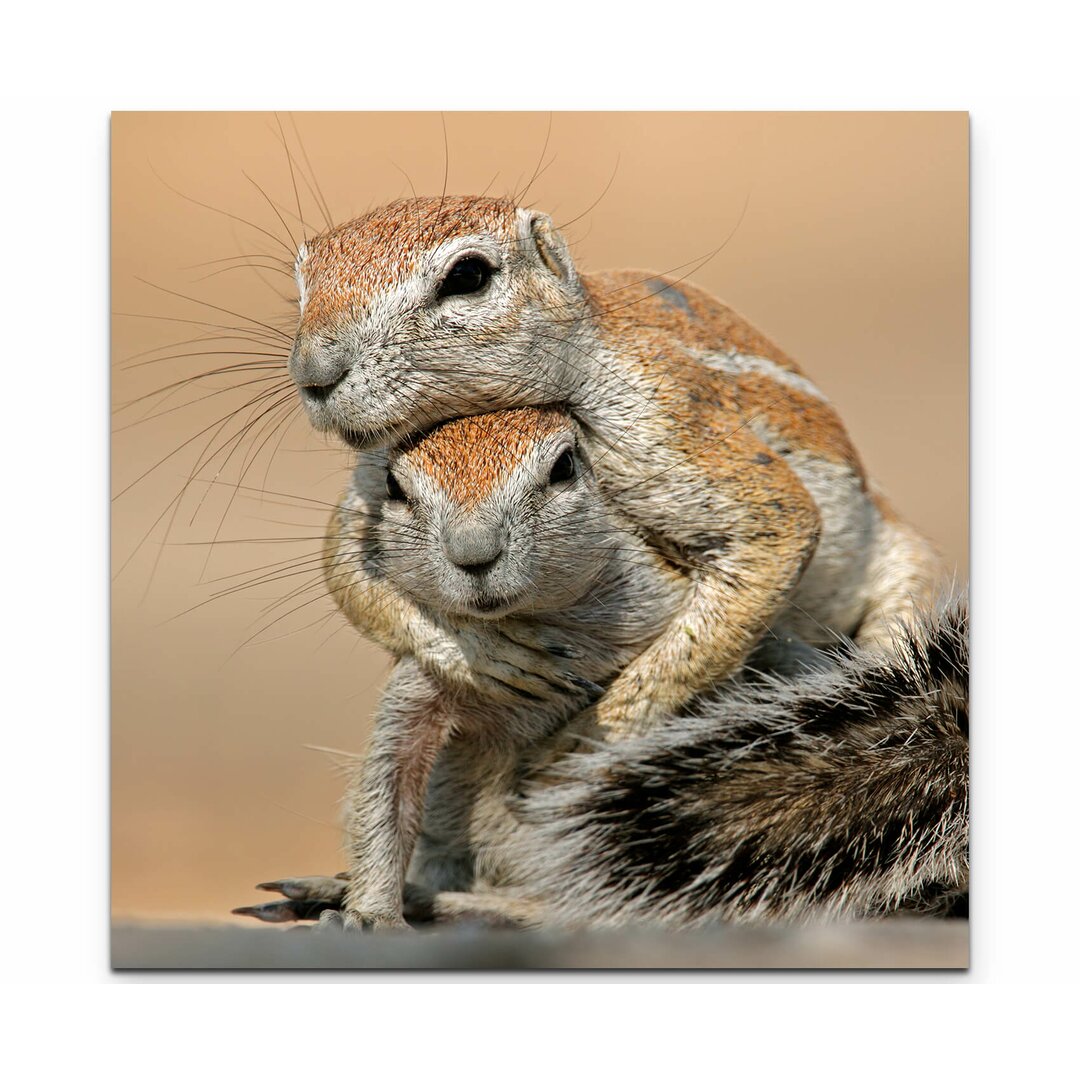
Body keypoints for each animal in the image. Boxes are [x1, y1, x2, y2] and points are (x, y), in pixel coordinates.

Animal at [232, 406, 967, 928]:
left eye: (563, 468)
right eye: (392, 485)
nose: (474, 553)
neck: (540, 623)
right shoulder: (426, 683)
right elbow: (389, 789)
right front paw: (371, 910)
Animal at [285, 194, 946, 734]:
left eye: (468, 276)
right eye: (302, 280)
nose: (313, 372)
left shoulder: (662, 416)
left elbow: (776, 527)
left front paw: (594, 735)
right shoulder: (372, 471)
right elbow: (345, 567)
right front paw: (486, 653)